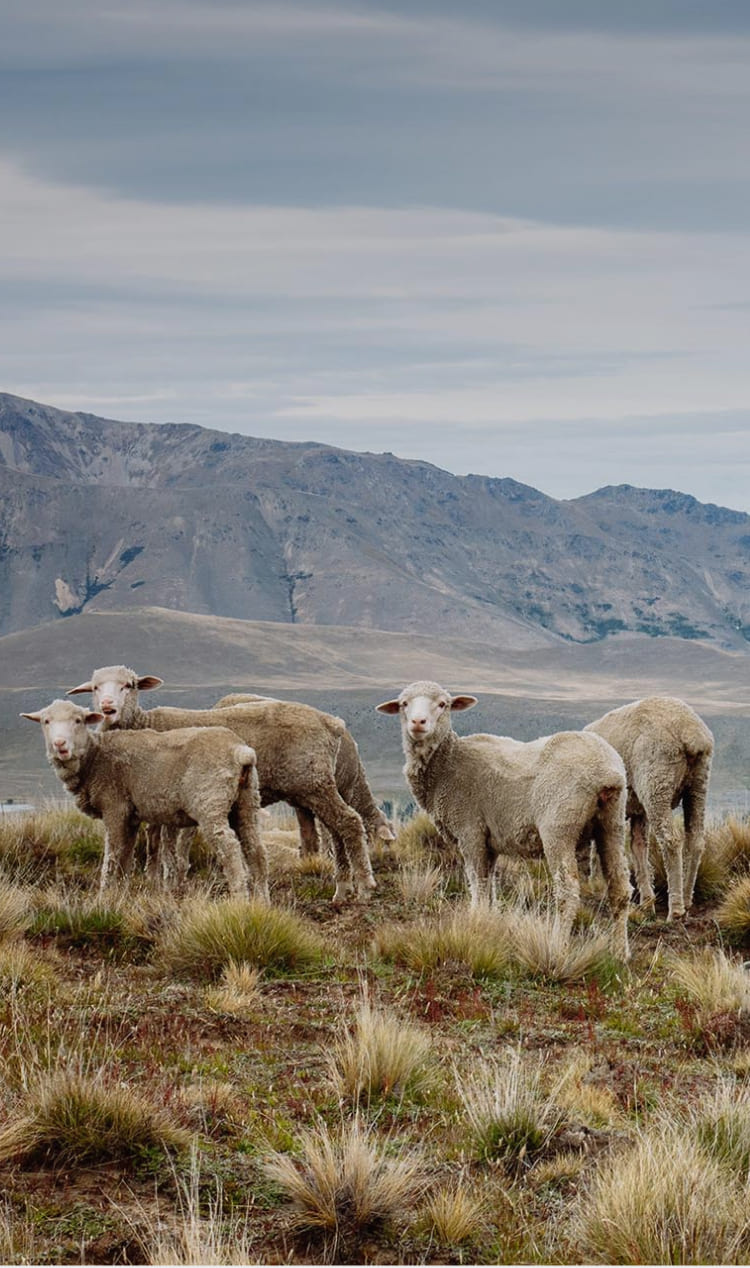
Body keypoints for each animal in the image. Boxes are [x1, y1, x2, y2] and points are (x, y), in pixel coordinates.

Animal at [19, 699, 266, 897]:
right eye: (46, 721)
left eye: (78, 720)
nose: (60, 744)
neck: (94, 758)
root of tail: (240, 751)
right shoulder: (131, 817)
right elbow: (125, 860)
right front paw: (120, 896)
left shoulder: (115, 807)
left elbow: (111, 859)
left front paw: (103, 898)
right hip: (246, 801)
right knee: (256, 852)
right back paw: (262, 904)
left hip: (210, 802)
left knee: (230, 849)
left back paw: (240, 900)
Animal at [378, 679, 631, 953]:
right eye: (403, 704)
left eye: (443, 704)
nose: (418, 722)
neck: (448, 763)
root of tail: (606, 772)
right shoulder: (490, 841)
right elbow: (489, 885)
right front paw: (489, 919)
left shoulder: (470, 831)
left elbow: (477, 883)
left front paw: (476, 921)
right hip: (613, 823)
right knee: (620, 889)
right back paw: (621, 951)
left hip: (559, 826)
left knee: (568, 890)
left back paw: (556, 944)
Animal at [586, 694, 715, 923]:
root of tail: (691, 731)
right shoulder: (638, 811)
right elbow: (638, 847)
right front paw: (647, 901)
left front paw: (596, 884)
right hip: (698, 783)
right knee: (696, 839)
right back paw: (687, 899)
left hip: (656, 782)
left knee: (671, 841)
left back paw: (676, 909)